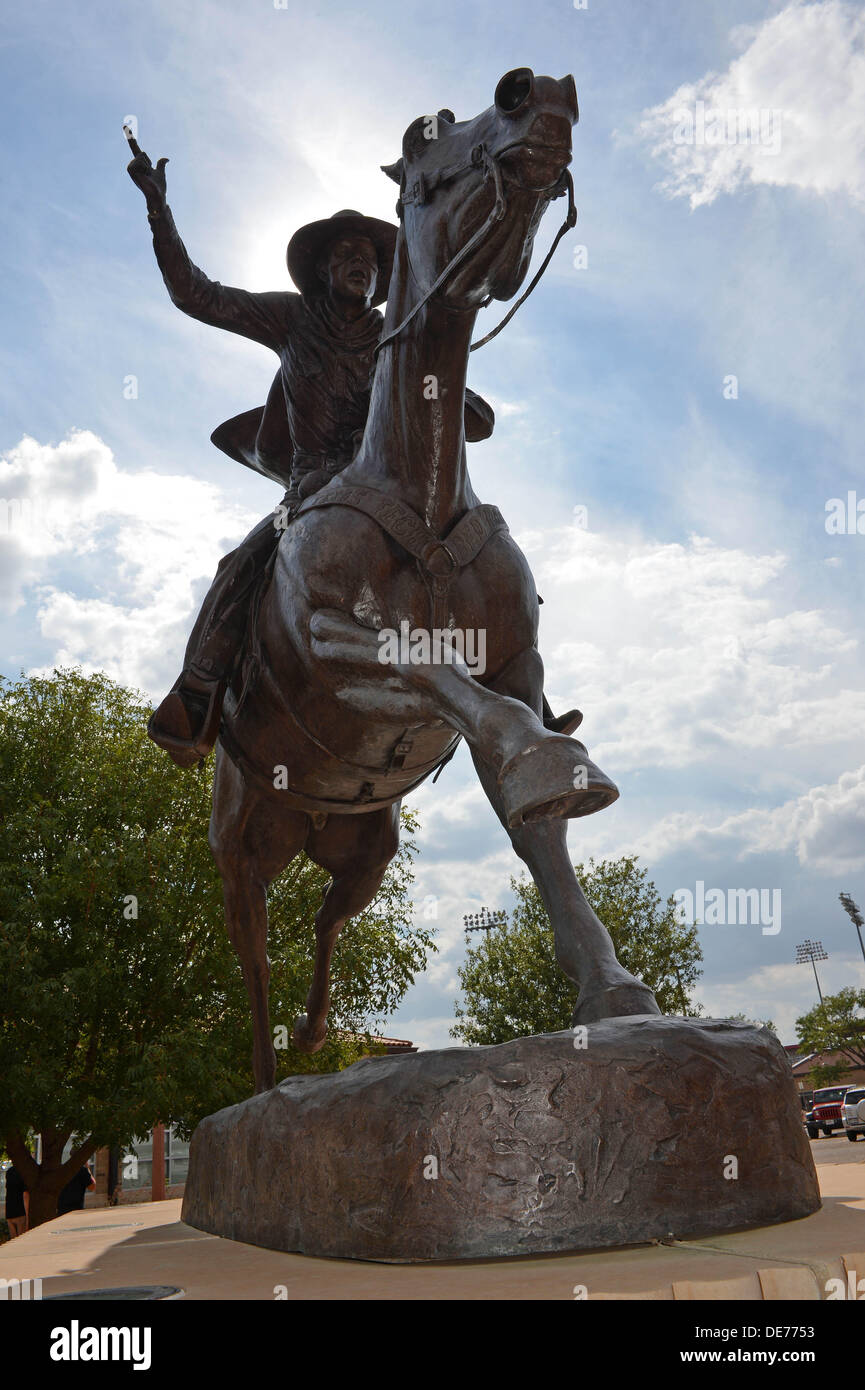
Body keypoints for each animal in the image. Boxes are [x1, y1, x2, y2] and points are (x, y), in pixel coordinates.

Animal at [211, 67, 664, 1095]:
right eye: (425, 136)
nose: (539, 91)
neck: (415, 478)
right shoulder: (337, 642)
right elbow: (438, 676)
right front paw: (554, 763)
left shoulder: (517, 663)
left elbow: (533, 827)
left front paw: (610, 985)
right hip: (240, 852)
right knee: (253, 962)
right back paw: (266, 1080)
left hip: (362, 853)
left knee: (326, 926)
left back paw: (315, 1041)